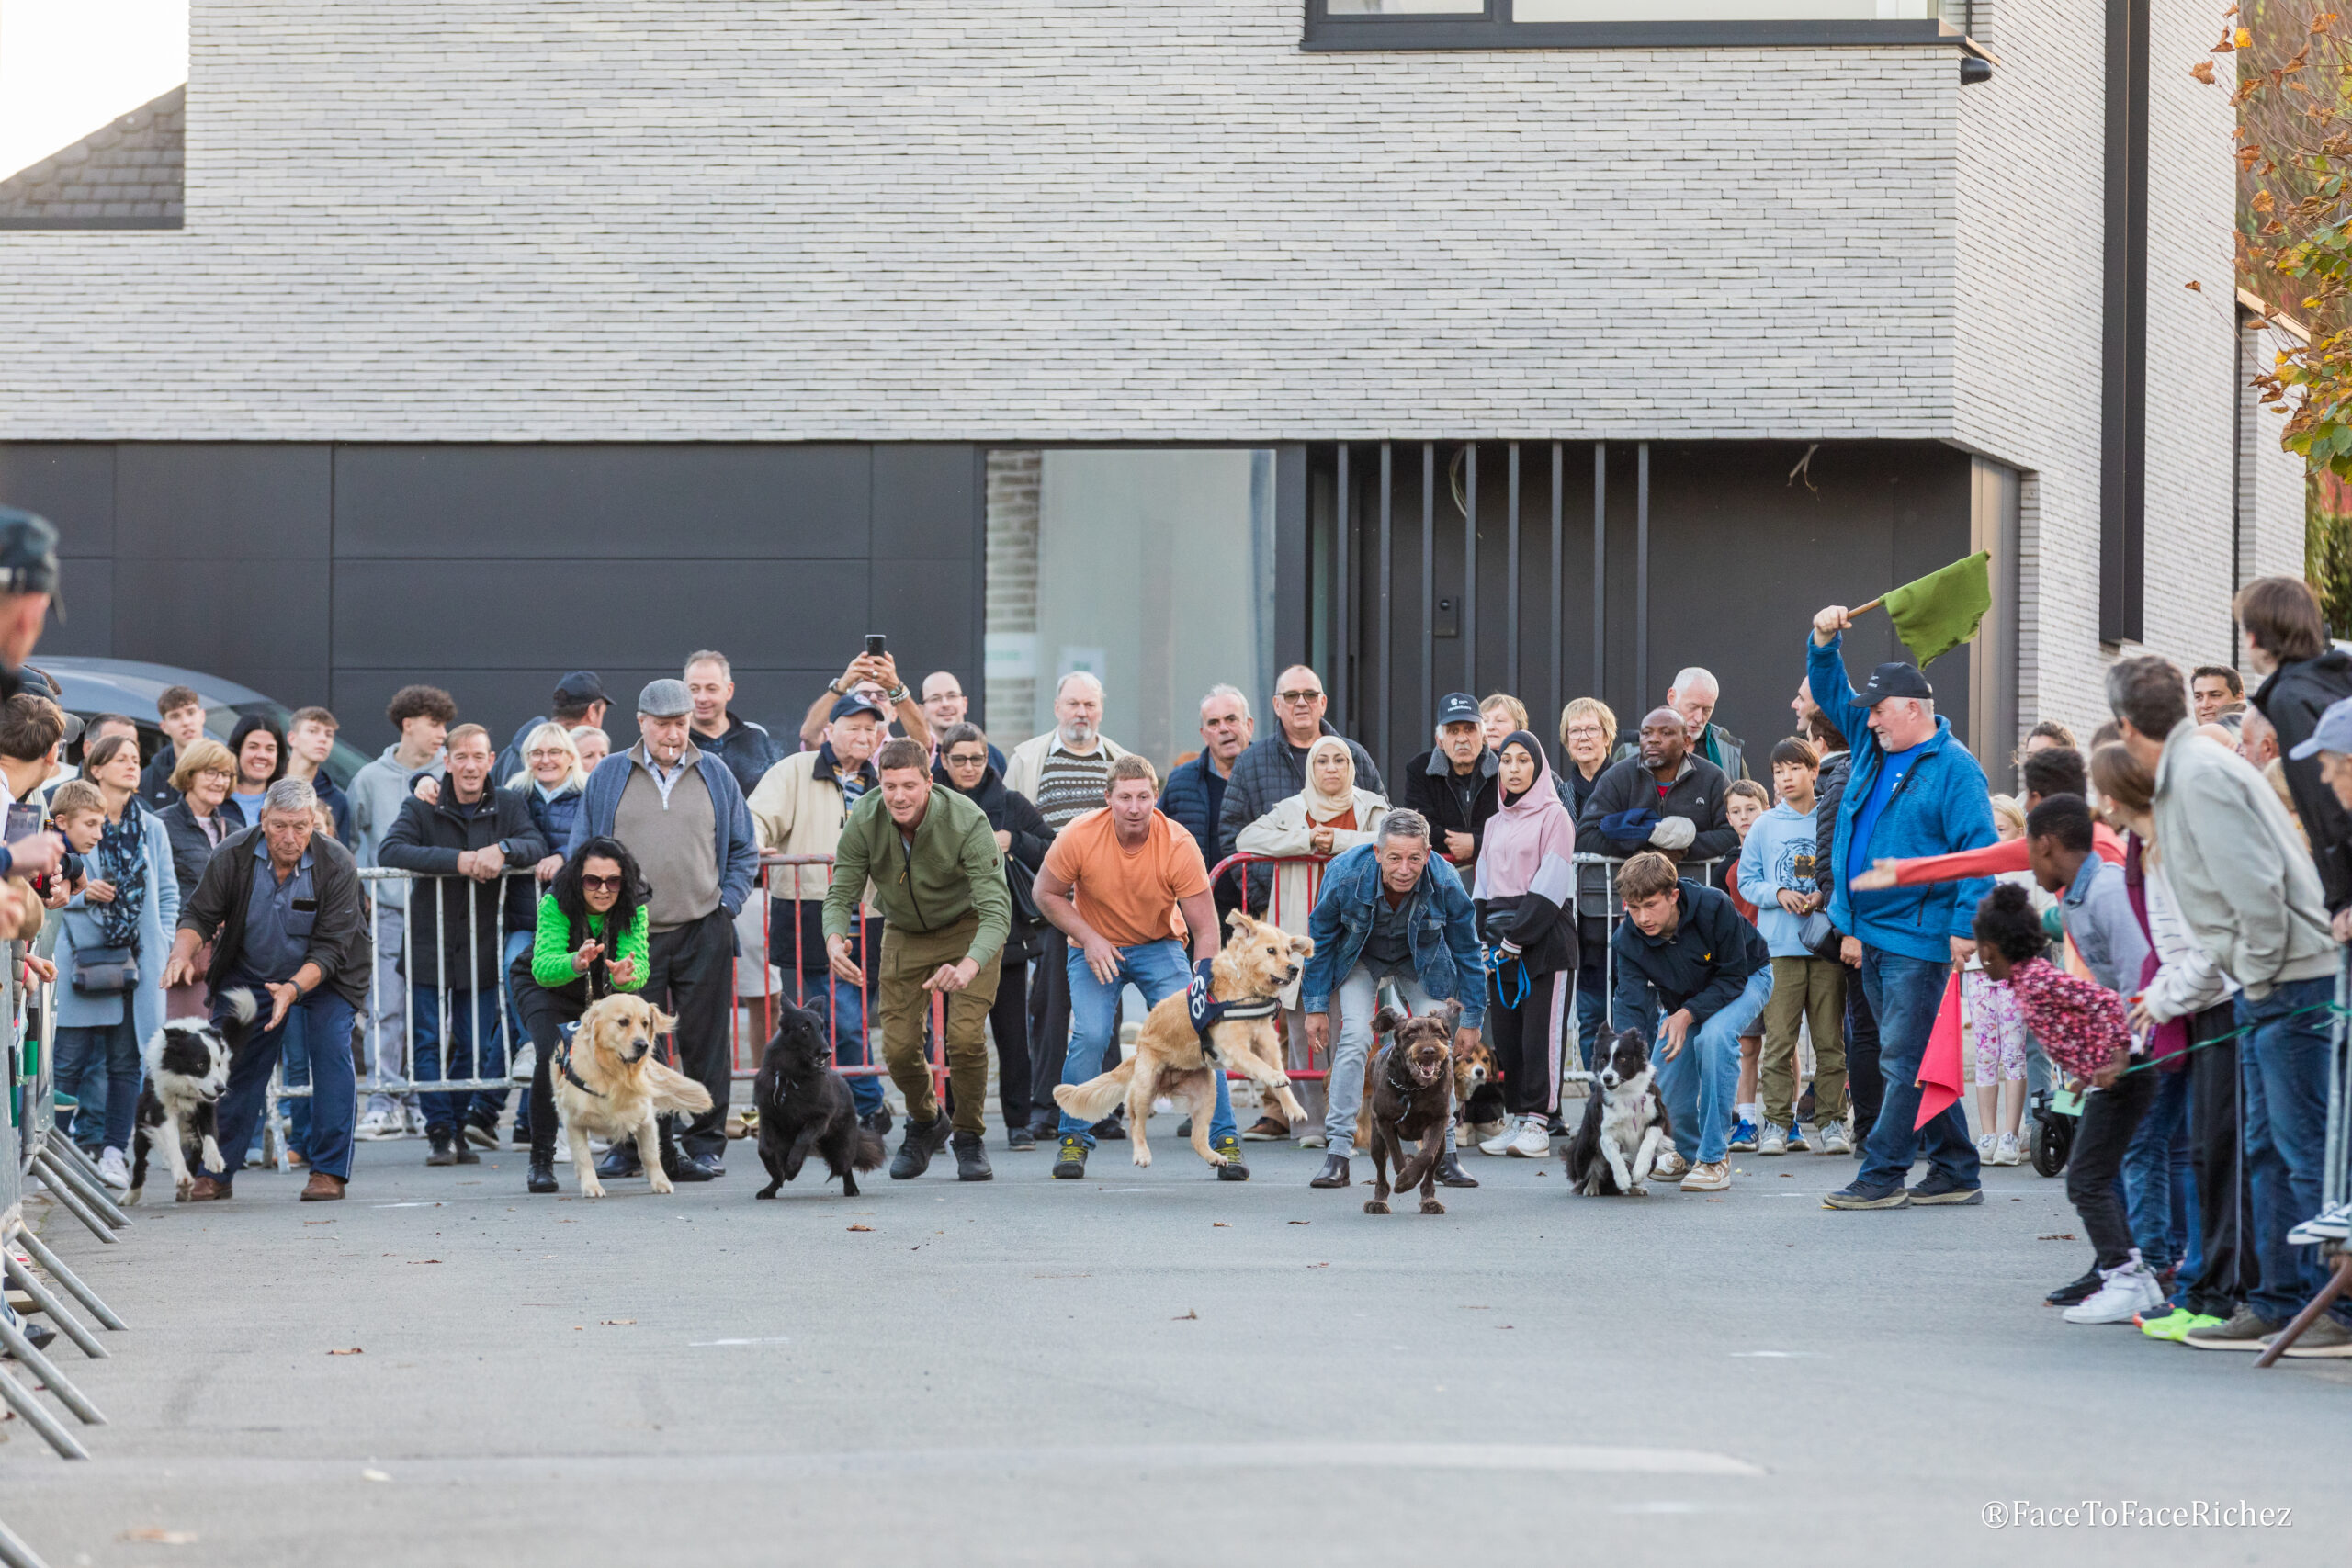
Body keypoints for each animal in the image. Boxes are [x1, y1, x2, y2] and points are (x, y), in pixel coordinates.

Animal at [126, 987, 257, 1213]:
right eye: (200, 1064)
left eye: (218, 1063)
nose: (222, 1089)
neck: (183, 1085)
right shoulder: (161, 1107)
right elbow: (172, 1143)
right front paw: (181, 1175)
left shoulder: (206, 1104)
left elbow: (210, 1132)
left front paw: (214, 1159)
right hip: (142, 1125)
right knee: (140, 1162)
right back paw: (131, 1195)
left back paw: (188, 1188)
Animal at [1561, 1024, 1674, 1194]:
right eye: (1603, 1059)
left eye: (1622, 1059)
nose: (1607, 1078)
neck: (1625, 1091)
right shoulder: (1605, 1131)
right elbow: (1613, 1155)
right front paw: (1622, 1179)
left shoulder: (1659, 1116)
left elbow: (1649, 1139)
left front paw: (1640, 1169)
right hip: (1583, 1148)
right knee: (1593, 1170)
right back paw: (1591, 1188)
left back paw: (1636, 1188)